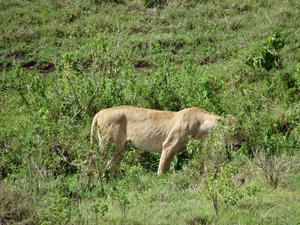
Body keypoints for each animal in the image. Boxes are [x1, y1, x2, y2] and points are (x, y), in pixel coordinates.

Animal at [89, 105, 244, 174]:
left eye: (240, 128)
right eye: (235, 130)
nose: (244, 140)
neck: (204, 126)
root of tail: (100, 112)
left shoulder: (198, 148)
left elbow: (203, 163)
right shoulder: (169, 146)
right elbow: (163, 168)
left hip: (118, 148)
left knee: (110, 164)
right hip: (105, 144)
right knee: (93, 161)